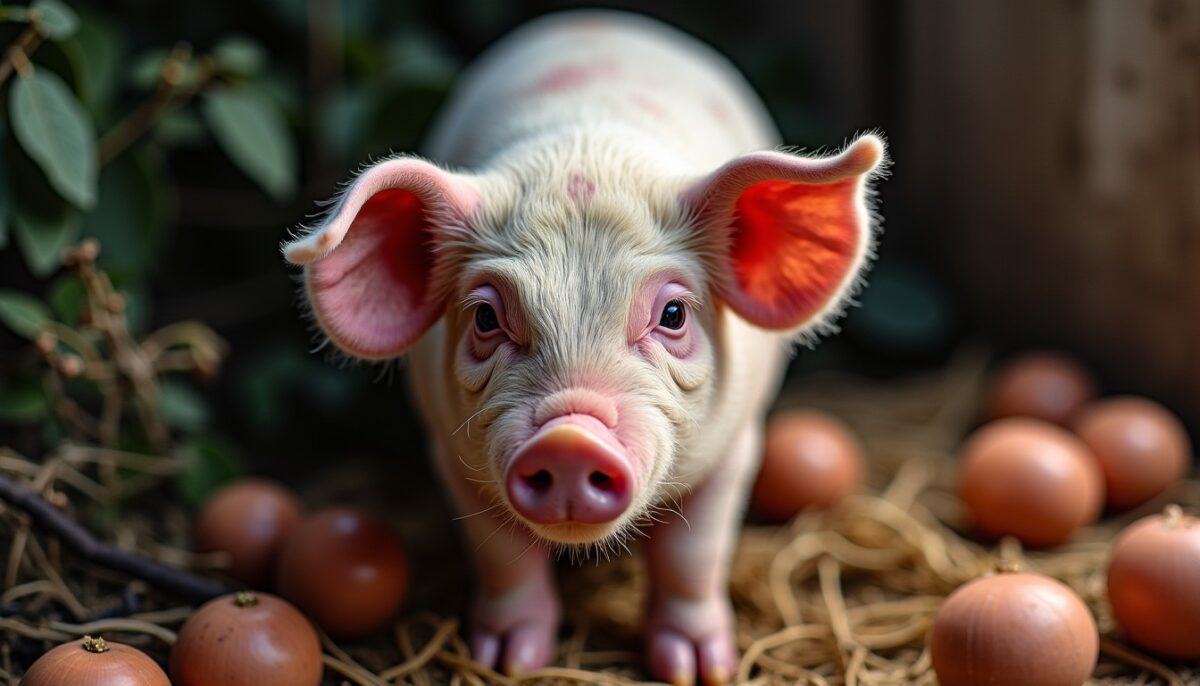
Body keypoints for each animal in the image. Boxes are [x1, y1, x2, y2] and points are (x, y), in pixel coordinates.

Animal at [282, 10, 885, 686]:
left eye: (673, 314)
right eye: (486, 317)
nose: (569, 438)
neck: (583, 151)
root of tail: (595, 17)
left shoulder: (735, 443)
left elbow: (692, 554)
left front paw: (696, 669)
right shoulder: (450, 449)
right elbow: (503, 556)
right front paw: (509, 661)